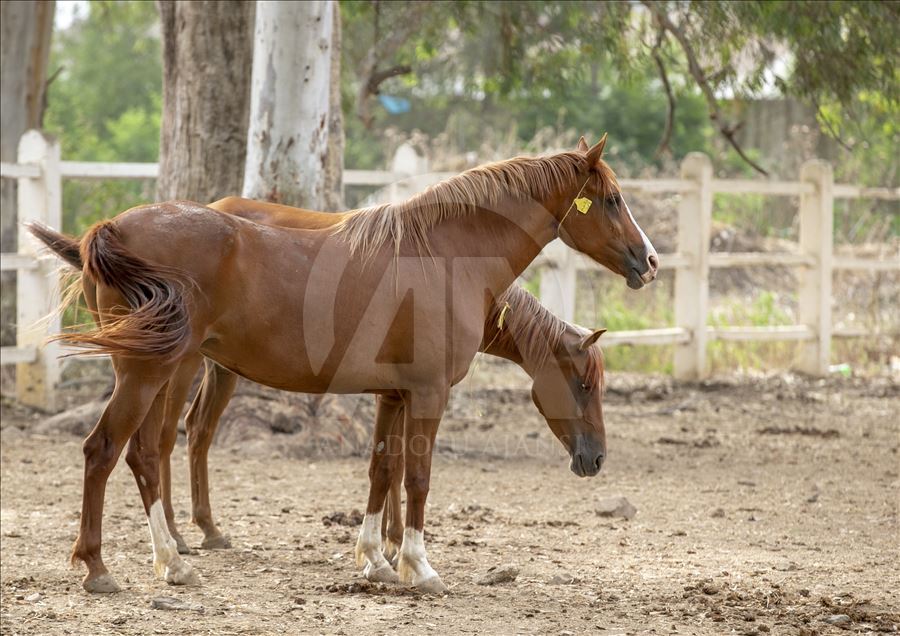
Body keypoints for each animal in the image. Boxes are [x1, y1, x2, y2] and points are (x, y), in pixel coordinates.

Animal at [31, 135, 656, 596]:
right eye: (612, 200)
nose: (649, 261)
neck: (443, 256)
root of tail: (112, 229)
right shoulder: (429, 394)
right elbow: (418, 476)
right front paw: (420, 568)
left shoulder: (393, 395)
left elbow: (382, 470)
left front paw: (377, 561)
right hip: (153, 373)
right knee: (108, 449)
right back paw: (100, 568)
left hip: (161, 371)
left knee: (144, 453)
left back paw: (174, 561)